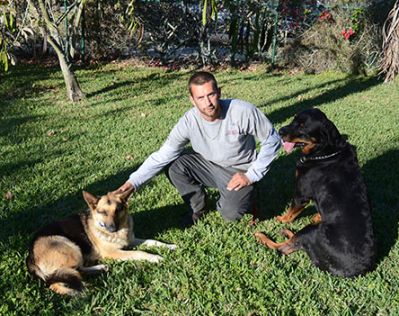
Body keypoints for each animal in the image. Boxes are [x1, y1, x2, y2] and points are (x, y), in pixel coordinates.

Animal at [256, 108, 378, 276]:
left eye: (302, 127)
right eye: (293, 119)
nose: (280, 131)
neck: (325, 152)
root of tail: (356, 270)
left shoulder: (301, 194)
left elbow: (291, 213)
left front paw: (282, 219)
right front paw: (317, 215)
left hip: (311, 232)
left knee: (282, 248)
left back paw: (263, 235)